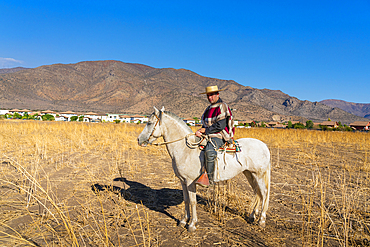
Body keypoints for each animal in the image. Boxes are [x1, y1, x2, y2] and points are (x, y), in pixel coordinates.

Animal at [137, 107, 270, 233]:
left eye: (149, 122)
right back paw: (252, 216)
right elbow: (186, 200)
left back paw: (262, 221)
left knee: (263, 193)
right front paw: (184, 220)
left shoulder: (190, 182)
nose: (139, 140)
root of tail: (264, 145)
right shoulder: (183, 181)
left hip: (258, 174)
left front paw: (192, 224)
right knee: (257, 192)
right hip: (249, 173)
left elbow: (193, 201)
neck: (186, 150)